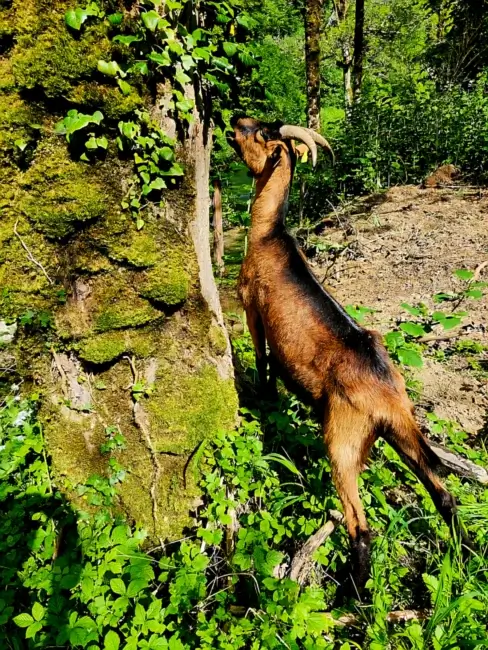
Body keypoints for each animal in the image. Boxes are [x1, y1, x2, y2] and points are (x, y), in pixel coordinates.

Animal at [229, 116, 472, 595]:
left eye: (261, 133)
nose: (233, 124)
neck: (269, 234)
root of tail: (389, 396)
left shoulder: (251, 307)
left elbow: (263, 361)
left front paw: (261, 397)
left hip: (342, 440)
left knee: (360, 525)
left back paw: (353, 595)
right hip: (401, 434)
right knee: (443, 492)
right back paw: (468, 553)